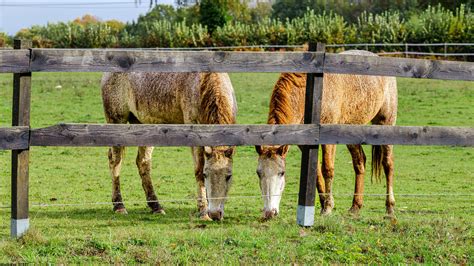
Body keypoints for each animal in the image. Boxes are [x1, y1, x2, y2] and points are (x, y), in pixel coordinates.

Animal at [102, 72, 239, 220]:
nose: (215, 214)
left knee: (143, 162)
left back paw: (156, 206)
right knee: (116, 161)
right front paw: (203, 211)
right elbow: (198, 170)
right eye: (206, 174)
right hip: (116, 120)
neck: (204, 84)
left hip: (144, 124)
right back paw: (119, 206)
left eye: (229, 176)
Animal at [256, 51, 396, 219]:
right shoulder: (304, 144)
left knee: (388, 164)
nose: (269, 213)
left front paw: (328, 207)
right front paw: (323, 205)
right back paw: (355, 206)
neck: (309, 95)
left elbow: (327, 169)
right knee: (360, 163)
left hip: (386, 123)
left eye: (281, 173)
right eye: (258, 173)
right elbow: (316, 172)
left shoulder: (327, 140)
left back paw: (390, 208)